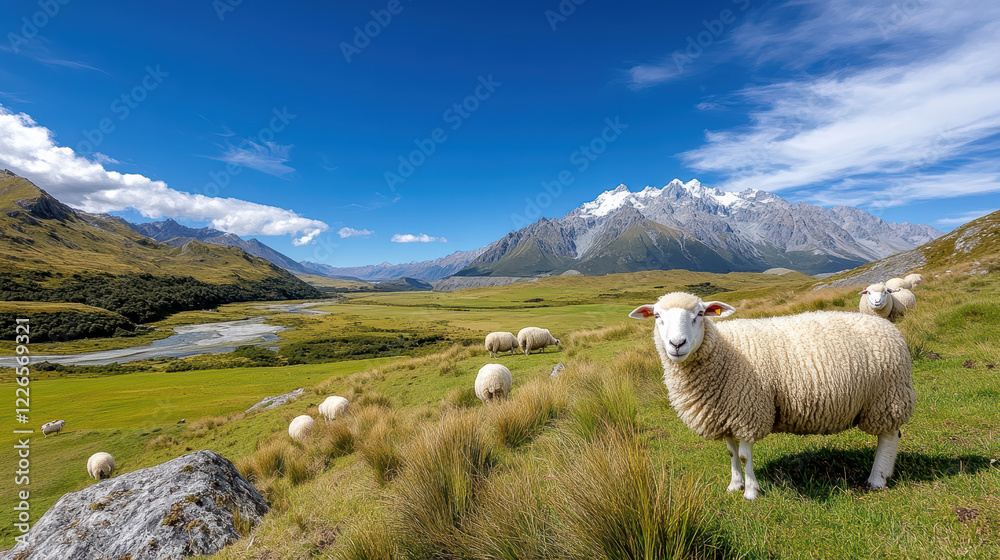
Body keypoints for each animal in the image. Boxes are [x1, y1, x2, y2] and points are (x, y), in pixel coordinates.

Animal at [629, 292, 915, 500]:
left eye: (699, 314)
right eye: (657, 316)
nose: (677, 345)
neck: (723, 353)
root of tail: (889, 327)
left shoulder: (747, 410)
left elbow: (745, 456)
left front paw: (750, 492)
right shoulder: (726, 412)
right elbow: (731, 453)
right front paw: (734, 486)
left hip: (887, 397)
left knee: (888, 438)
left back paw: (877, 479)